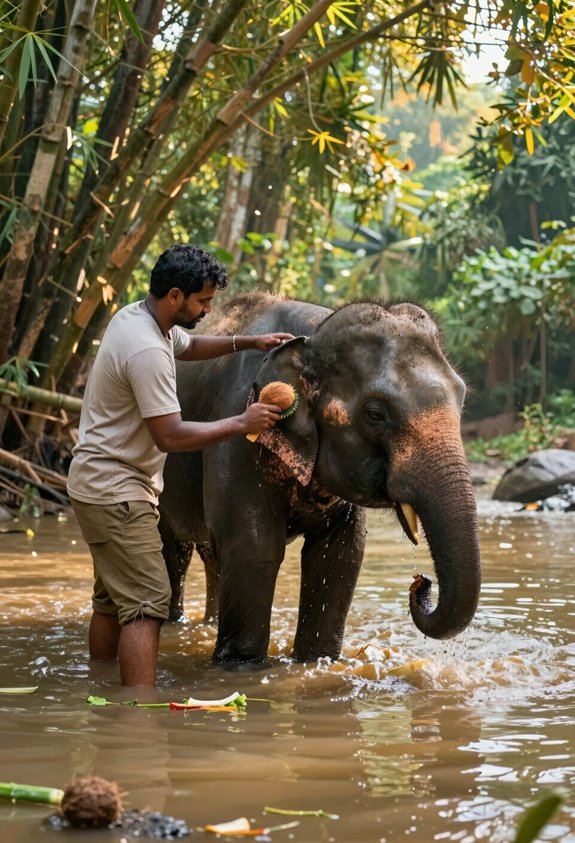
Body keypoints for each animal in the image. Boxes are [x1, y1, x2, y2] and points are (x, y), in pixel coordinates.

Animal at [158, 292, 482, 664]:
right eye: (375, 414)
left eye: (463, 398)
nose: (421, 582)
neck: (312, 336)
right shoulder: (237, 427)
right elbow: (253, 548)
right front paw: (241, 665)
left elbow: (339, 556)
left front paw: (317, 661)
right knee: (174, 552)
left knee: (210, 552)